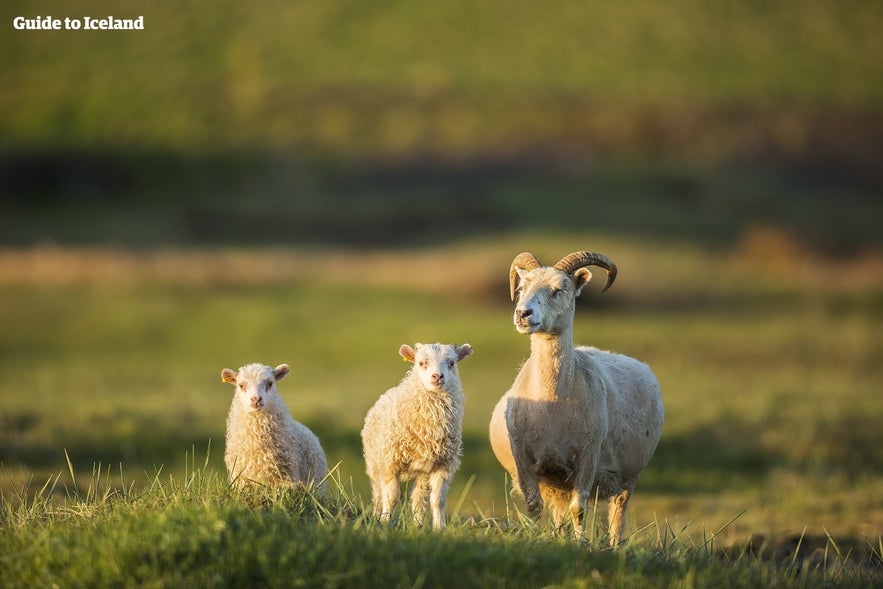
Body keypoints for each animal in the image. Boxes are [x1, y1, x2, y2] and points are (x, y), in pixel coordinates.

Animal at [360, 340, 474, 528]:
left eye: (452, 363)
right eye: (421, 363)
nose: (437, 376)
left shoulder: (443, 464)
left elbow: (437, 500)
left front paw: (439, 528)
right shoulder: (389, 461)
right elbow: (391, 497)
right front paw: (384, 522)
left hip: (422, 472)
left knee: (419, 498)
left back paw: (418, 524)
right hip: (374, 461)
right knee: (378, 494)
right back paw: (377, 516)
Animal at [490, 250, 664, 544]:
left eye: (560, 289)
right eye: (521, 288)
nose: (523, 313)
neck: (552, 403)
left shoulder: (587, 457)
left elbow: (579, 509)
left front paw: (580, 543)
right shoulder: (524, 459)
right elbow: (534, 507)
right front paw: (537, 538)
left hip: (628, 477)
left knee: (617, 514)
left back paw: (614, 545)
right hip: (556, 481)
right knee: (559, 512)